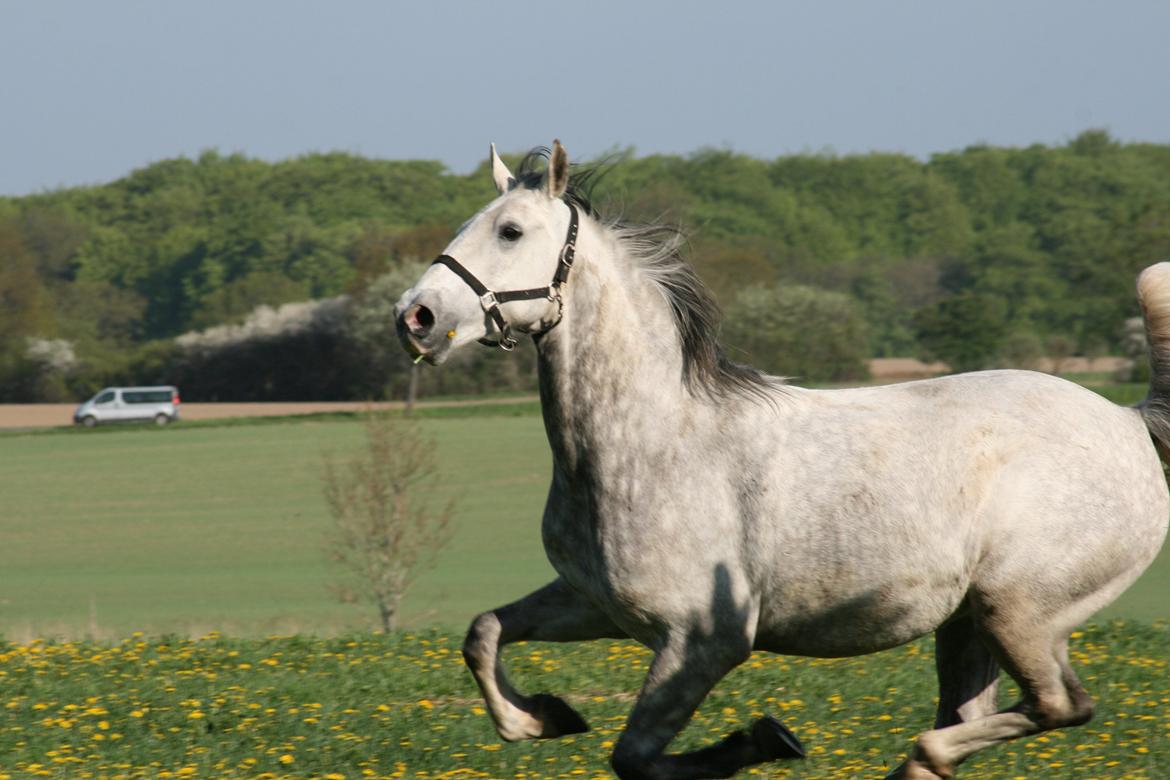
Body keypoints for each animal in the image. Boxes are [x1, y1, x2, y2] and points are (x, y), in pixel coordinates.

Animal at [395, 142, 1170, 780]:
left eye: (510, 231)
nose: (415, 317)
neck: (646, 444)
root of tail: (1128, 423)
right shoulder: (596, 604)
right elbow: (483, 633)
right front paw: (543, 717)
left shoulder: (704, 641)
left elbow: (634, 757)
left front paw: (766, 739)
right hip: (967, 623)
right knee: (982, 712)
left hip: (1018, 609)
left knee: (1058, 705)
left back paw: (921, 756)